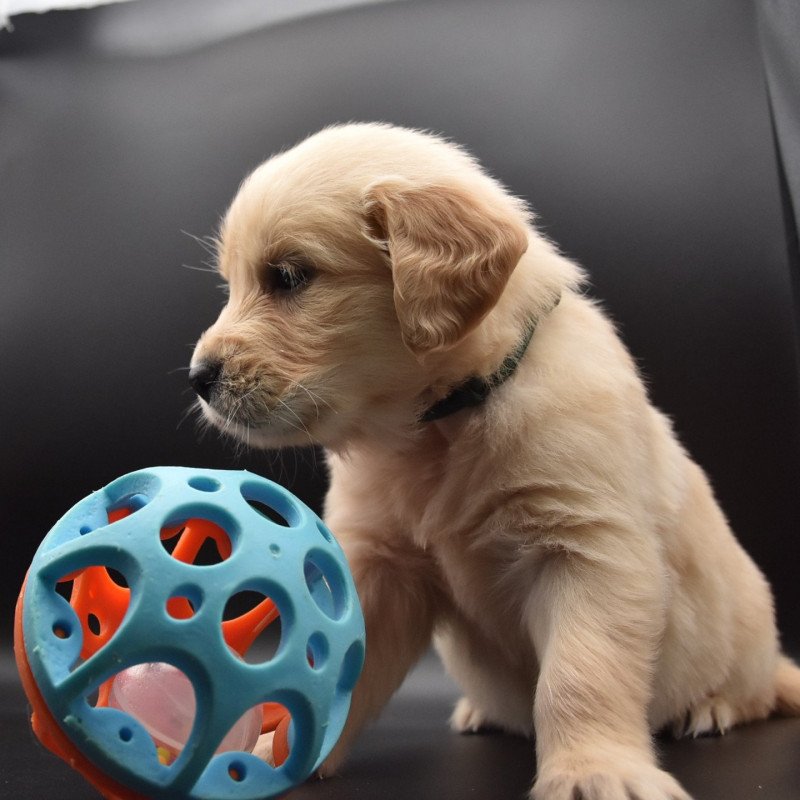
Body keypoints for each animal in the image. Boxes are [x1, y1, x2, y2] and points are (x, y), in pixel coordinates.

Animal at [189, 122, 800, 796]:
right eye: (234, 283)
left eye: (290, 276)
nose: (199, 378)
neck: (443, 424)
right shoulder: (378, 568)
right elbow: (336, 663)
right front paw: (277, 750)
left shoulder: (587, 550)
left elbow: (580, 674)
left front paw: (594, 771)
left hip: (745, 633)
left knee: (755, 689)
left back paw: (714, 706)